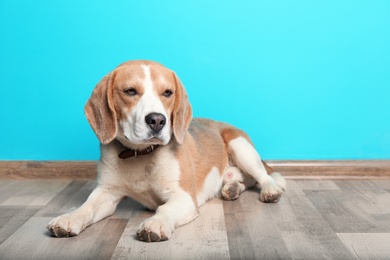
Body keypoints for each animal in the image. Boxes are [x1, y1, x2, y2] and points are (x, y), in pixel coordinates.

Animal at [48, 60, 286, 243]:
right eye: (130, 91)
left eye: (168, 93)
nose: (157, 120)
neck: (141, 155)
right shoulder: (106, 192)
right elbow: (86, 207)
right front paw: (69, 218)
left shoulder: (183, 197)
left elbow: (165, 209)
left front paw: (156, 222)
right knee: (246, 180)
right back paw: (233, 188)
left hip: (241, 147)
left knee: (262, 177)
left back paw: (269, 190)